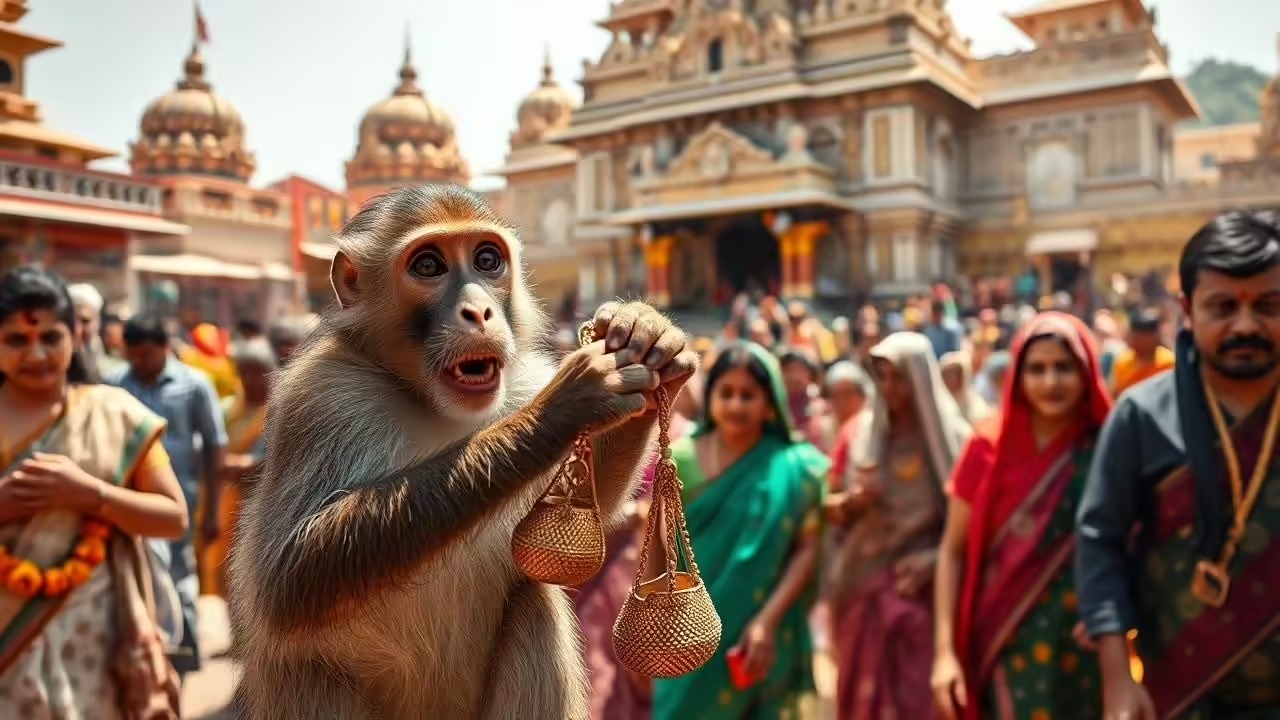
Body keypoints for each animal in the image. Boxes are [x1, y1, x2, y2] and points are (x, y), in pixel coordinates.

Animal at [226, 184, 698, 720]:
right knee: (310, 668)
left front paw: (645, 334)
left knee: (532, 601)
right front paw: (562, 407)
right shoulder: (317, 398)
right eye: (428, 266)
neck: (425, 398)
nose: (479, 311)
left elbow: (594, 506)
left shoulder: (522, 376)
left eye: (487, 260)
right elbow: (288, 575)